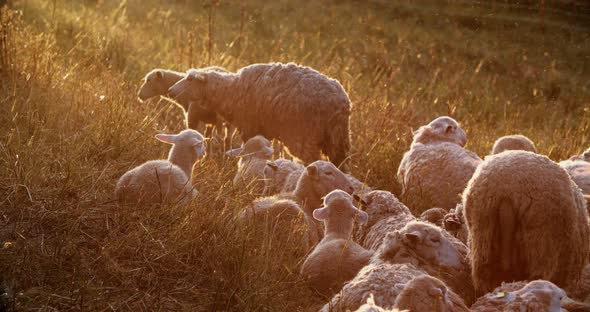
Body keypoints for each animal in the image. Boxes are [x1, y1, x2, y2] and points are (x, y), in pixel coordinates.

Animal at [166, 61, 352, 167]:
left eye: (190, 80)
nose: (170, 91)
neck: (230, 90)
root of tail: (340, 103)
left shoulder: (250, 127)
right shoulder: (263, 131)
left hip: (304, 136)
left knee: (312, 160)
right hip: (337, 140)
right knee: (340, 165)